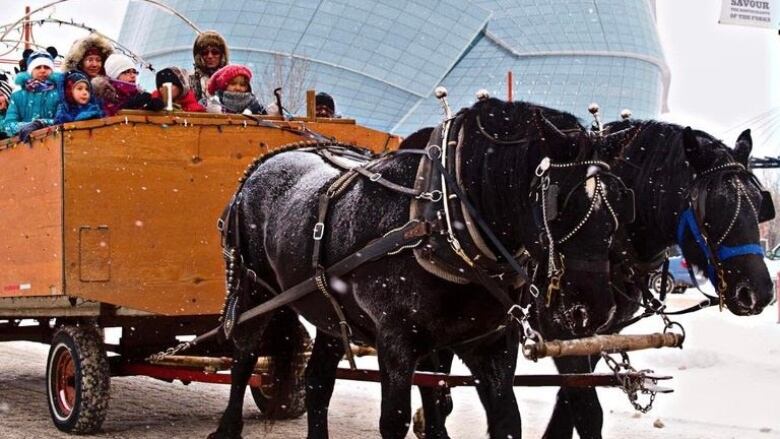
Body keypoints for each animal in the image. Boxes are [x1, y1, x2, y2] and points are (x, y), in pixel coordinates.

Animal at [206, 99, 632, 439]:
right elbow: (395, 419)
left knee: (317, 382)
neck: (443, 224)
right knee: (244, 357)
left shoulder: (489, 344)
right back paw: (227, 427)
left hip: (328, 310)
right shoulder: (396, 341)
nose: (594, 312)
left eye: (618, 204)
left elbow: (505, 420)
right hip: (255, 289)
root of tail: (267, 160)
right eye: (560, 203)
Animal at [536, 120, 772, 439]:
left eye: (759, 203)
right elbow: (586, 410)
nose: (760, 292)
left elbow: (567, 403)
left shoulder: (597, 335)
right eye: (715, 205)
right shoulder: (560, 331)